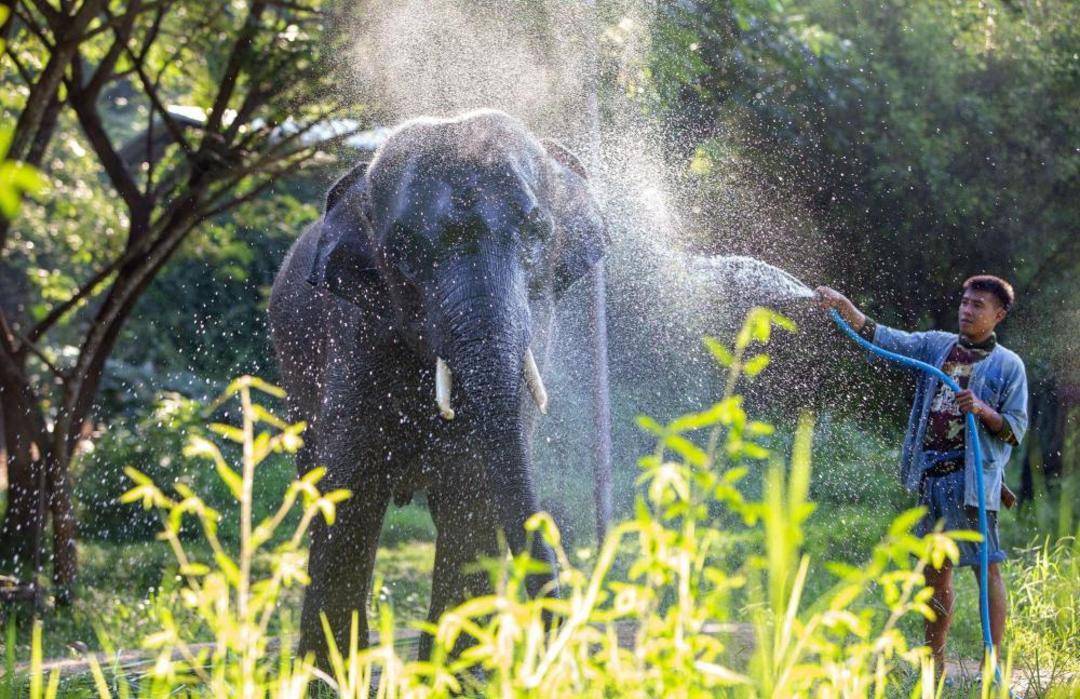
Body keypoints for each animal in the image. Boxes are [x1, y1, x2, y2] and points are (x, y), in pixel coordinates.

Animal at [267, 110, 609, 665]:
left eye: (538, 232)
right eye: (405, 251)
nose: (562, 645)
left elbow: (473, 497)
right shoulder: (354, 340)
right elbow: (349, 497)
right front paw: (331, 672)